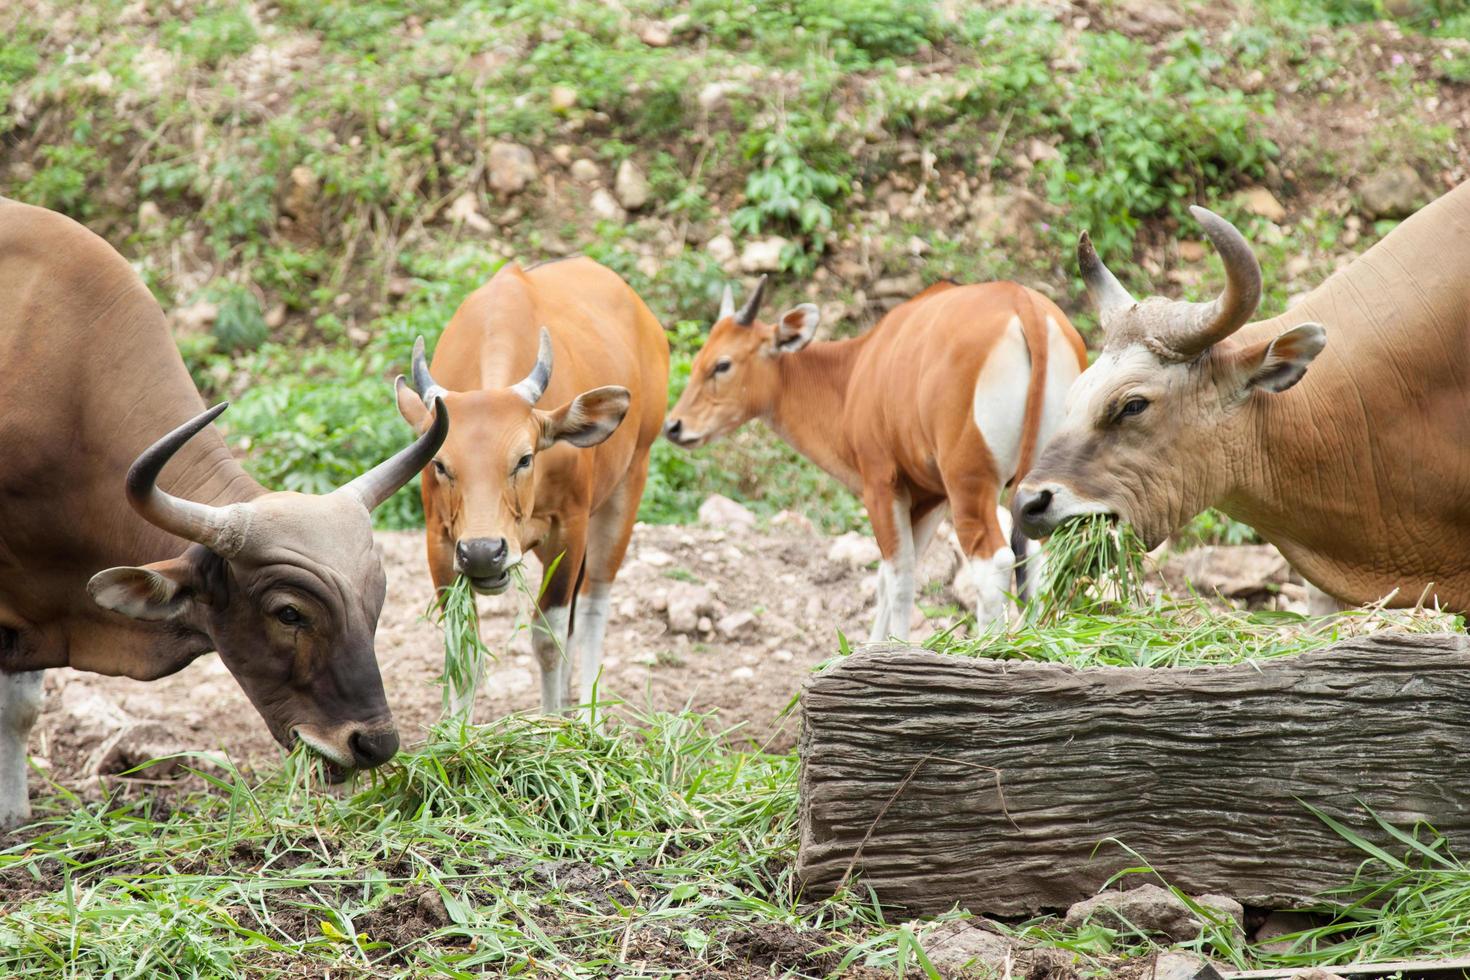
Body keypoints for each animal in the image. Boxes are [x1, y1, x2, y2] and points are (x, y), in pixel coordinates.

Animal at [391, 255, 667, 714]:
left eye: (524, 458)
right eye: (441, 464)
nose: (482, 553)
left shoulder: (568, 528)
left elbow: (547, 638)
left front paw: (554, 722)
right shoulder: (440, 539)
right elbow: (463, 652)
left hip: (629, 483)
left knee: (592, 607)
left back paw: (588, 714)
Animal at [661, 276, 1087, 637]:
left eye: (722, 364)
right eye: (699, 360)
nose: (674, 425)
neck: (855, 373)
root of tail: (1024, 304)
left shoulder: (881, 483)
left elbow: (898, 577)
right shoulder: (930, 497)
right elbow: (888, 575)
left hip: (970, 484)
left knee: (993, 563)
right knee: (1038, 559)